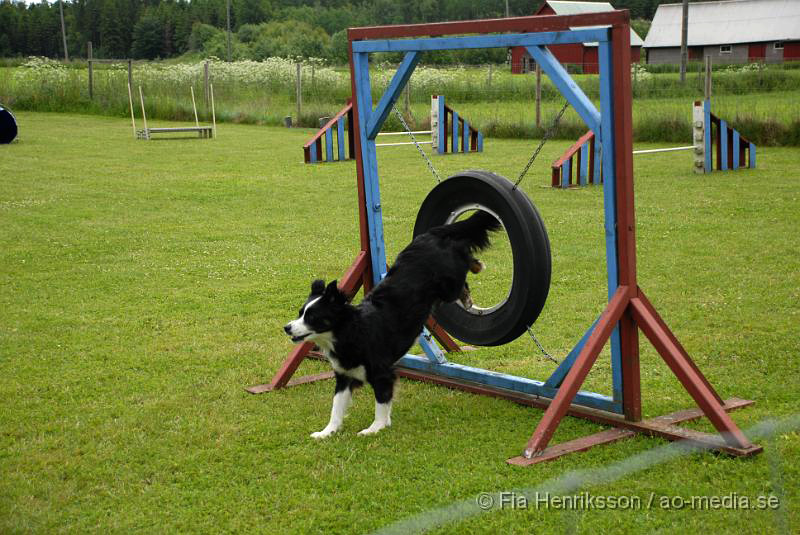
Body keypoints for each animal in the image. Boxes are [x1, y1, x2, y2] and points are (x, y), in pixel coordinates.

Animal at [282, 211, 500, 438]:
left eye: (312, 317)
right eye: (300, 313)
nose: (286, 327)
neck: (348, 333)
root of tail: (430, 235)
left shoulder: (382, 373)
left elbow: (381, 402)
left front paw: (375, 428)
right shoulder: (344, 376)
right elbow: (336, 407)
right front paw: (327, 432)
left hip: (449, 284)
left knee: (464, 265)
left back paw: (475, 271)